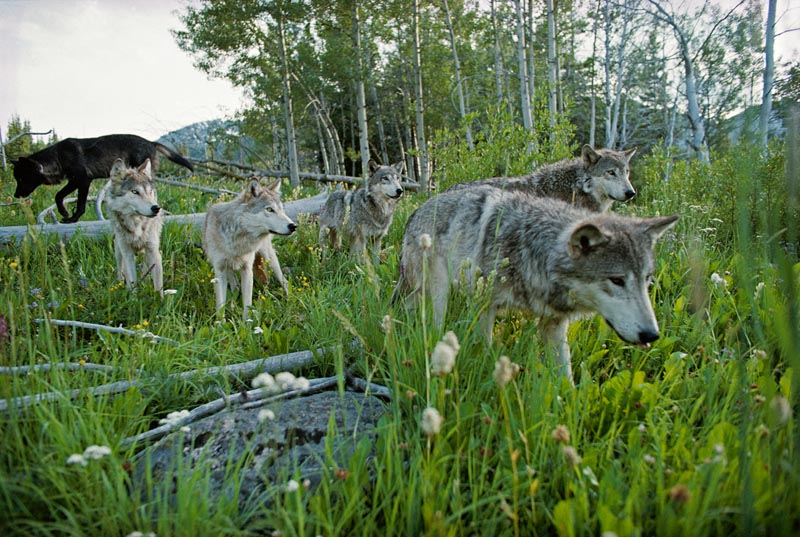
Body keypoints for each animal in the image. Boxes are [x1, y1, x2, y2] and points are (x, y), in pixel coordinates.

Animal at [12, 134, 194, 223]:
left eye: (21, 179)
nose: (15, 196)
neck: (58, 157)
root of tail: (152, 141)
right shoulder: (76, 181)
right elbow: (60, 196)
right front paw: (66, 213)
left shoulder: (82, 180)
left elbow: (72, 201)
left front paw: (70, 217)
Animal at [105, 159, 164, 296]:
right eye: (135, 192)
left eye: (150, 192)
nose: (156, 208)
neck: (136, 223)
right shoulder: (127, 253)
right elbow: (132, 280)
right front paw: (133, 298)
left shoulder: (154, 251)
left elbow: (158, 286)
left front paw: (161, 300)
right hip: (118, 249)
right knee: (120, 269)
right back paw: (120, 283)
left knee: (145, 267)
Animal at [203, 178, 297, 320]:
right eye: (269, 209)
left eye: (282, 210)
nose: (293, 226)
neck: (238, 239)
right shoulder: (219, 270)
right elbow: (220, 305)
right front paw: (220, 323)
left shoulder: (247, 268)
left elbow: (247, 303)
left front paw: (246, 322)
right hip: (229, 269)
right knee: (235, 286)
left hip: (269, 258)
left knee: (284, 281)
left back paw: (289, 301)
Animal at [393, 187, 678, 385]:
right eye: (617, 280)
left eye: (646, 279)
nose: (651, 335)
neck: (533, 250)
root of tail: (416, 210)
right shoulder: (485, 305)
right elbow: (486, 348)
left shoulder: (554, 324)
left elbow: (566, 376)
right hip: (438, 293)